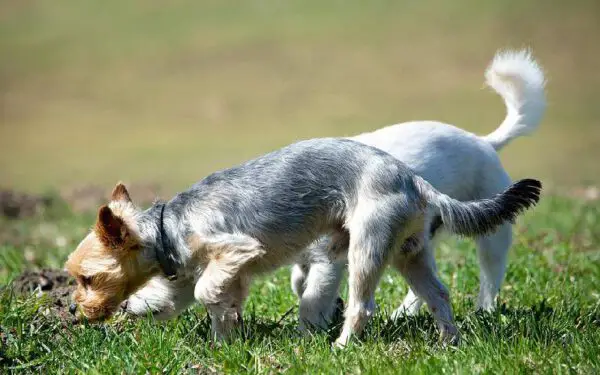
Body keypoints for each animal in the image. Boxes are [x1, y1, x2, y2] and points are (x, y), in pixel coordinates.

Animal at [63, 135, 540, 346]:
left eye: (86, 279)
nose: (73, 309)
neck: (168, 227)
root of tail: (414, 181)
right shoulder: (220, 271)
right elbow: (212, 302)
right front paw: (222, 342)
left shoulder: (235, 249)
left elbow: (204, 292)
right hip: (411, 253)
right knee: (438, 295)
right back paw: (449, 343)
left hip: (367, 247)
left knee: (363, 305)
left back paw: (342, 347)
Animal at [124, 47, 548, 332]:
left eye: (156, 273)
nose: (124, 307)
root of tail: (485, 141)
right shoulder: (305, 259)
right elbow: (300, 285)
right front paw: (326, 312)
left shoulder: (329, 258)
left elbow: (312, 296)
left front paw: (311, 329)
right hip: (416, 243)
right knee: (429, 289)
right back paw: (408, 315)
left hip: (488, 239)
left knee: (489, 277)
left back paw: (481, 310)